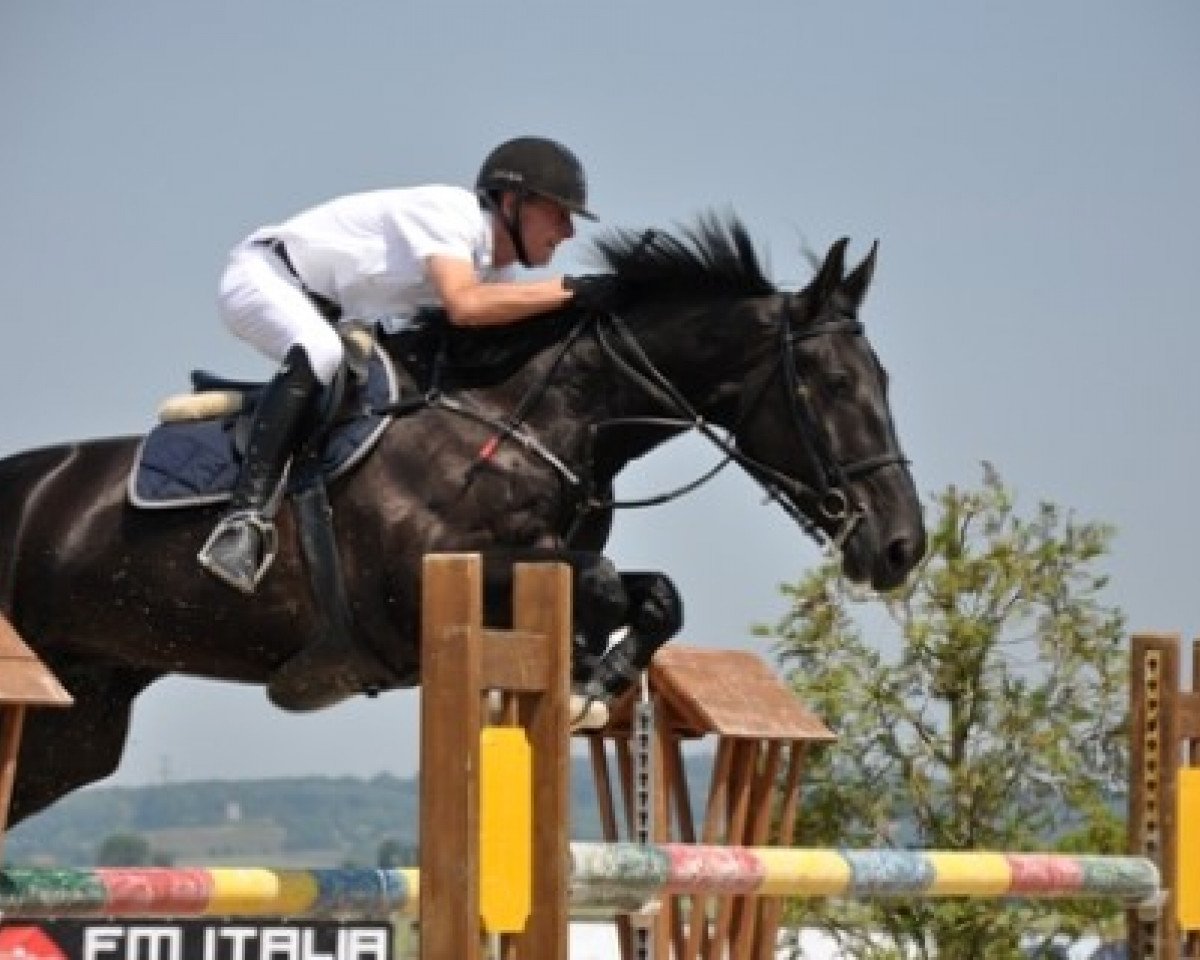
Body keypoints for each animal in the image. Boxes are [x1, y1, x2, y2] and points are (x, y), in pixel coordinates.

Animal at [0, 213, 925, 827]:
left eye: (884, 379)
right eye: (833, 384)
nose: (901, 546)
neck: (530, 418)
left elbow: (657, 594)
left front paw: (596, 680)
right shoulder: (419, 585)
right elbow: (600, 582)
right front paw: (588, 679)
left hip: (75, 725)